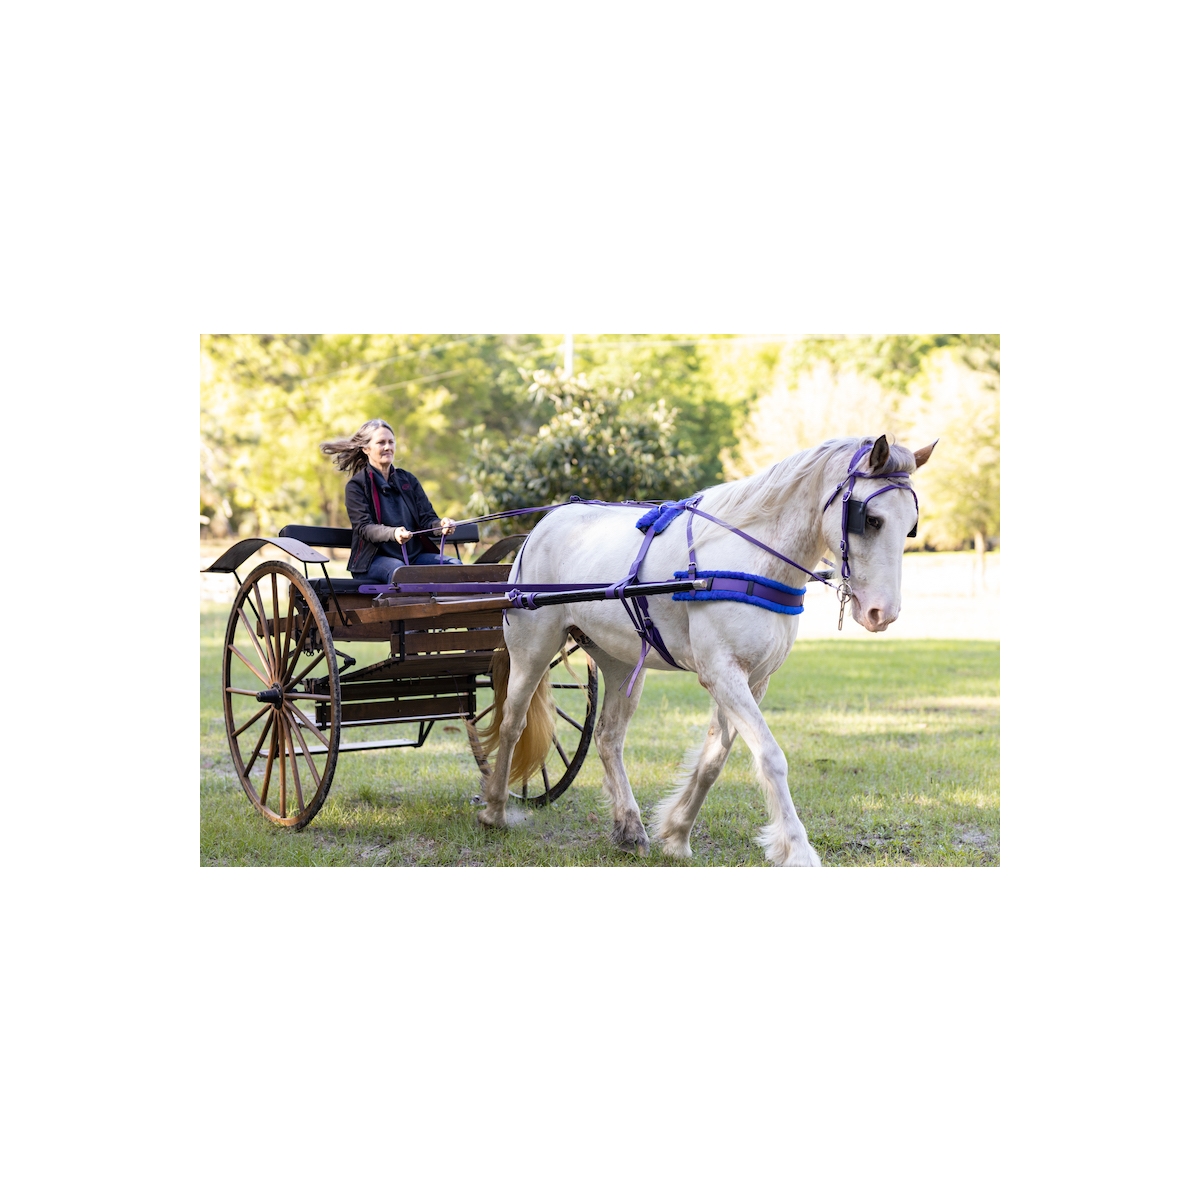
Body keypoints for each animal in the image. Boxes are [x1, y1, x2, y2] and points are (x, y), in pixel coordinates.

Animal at [475, 434, 937, 866]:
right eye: (871, 519)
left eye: (910, 525)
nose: (883, 613)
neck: (751, 558)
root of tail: (544, 524)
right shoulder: (721, 672)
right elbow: (770, 756)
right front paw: (797, 848)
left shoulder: (753, 679)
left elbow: (715, 758)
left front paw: (677, 833)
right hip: (534, 651)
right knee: (512, 723)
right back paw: (495, 808)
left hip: (622, 663)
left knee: (608, 738)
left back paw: (629, 827)